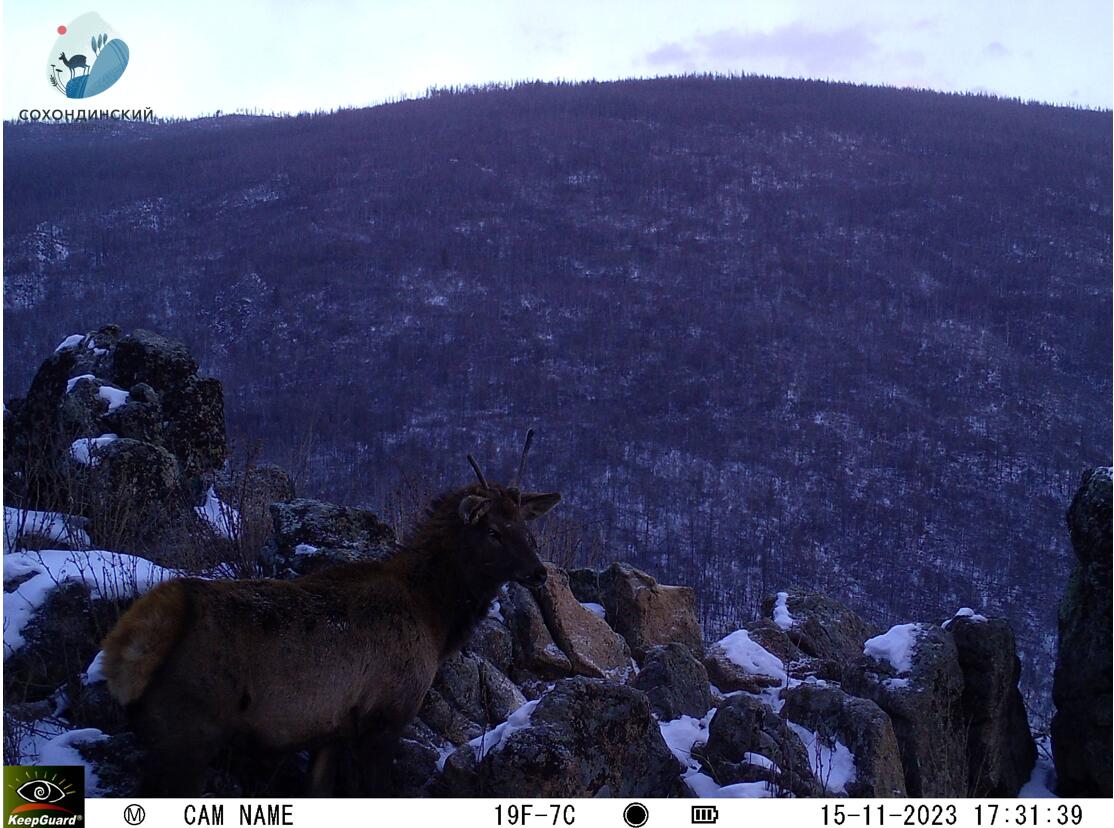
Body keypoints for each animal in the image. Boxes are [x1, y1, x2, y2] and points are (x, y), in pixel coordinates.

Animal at [99, 431, 560, 796]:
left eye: (526, 528)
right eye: (493, 531)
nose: (538, 572)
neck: (436, 619)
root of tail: (128, 647)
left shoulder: (331, 730)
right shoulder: (386, 715)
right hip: (187, 733)